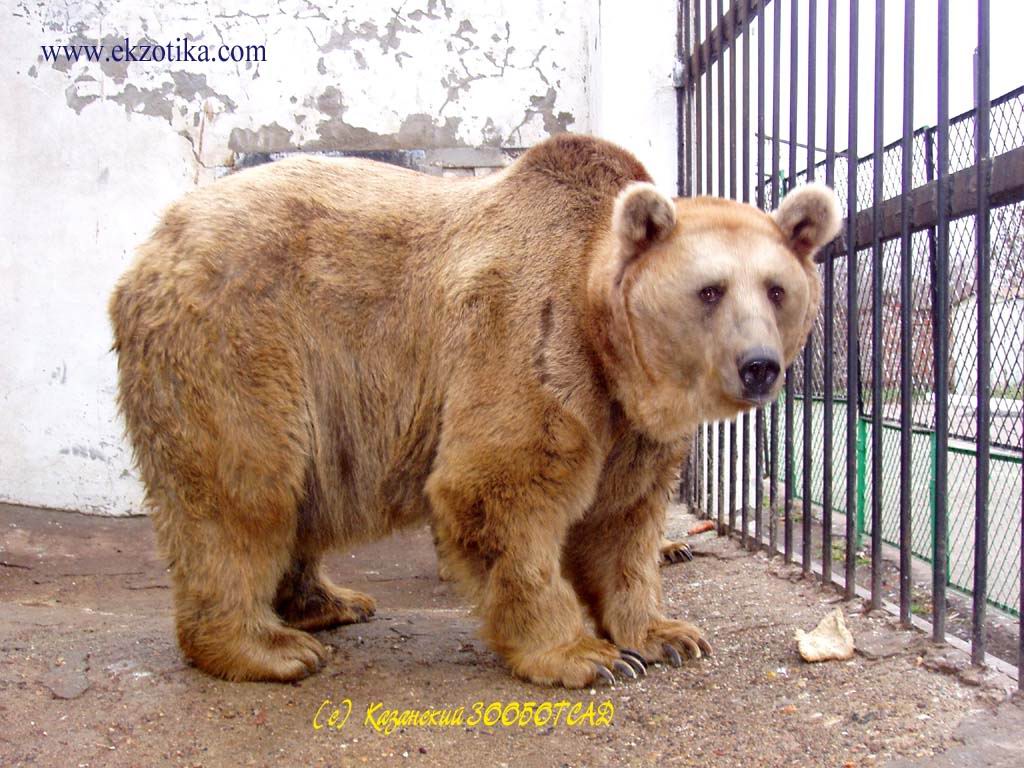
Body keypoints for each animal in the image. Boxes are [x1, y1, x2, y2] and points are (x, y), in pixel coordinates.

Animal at [109, 133, 840, 687]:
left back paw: (330, 604)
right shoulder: (530, 337)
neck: (611, 347)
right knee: (244, 487)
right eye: (710, 290)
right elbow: (498, 487)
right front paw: (586, 656)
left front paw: (667, 633)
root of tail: (150, 245)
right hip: (242, 339)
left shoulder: (627, 422)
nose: (759, 366)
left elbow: (622, 518)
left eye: (776, 289)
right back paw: (269, 647)